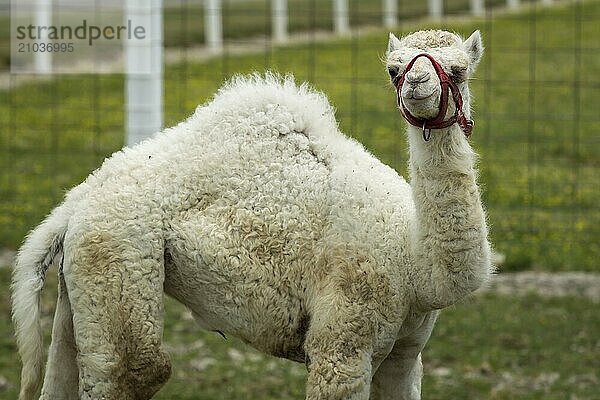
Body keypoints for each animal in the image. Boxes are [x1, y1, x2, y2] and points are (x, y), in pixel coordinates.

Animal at [11, 29, 492, 398]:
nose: (417, 84)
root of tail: (75, 202)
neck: (415, 263)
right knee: (135, 369)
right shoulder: (342, 342)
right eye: (395, 69)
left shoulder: (406, 353)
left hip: (82, 279)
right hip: (119, 253)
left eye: (458, 70)